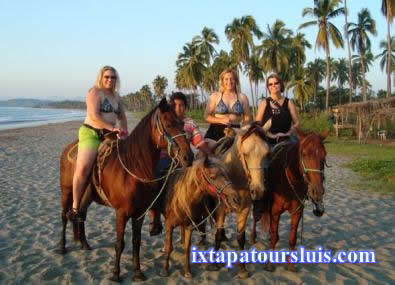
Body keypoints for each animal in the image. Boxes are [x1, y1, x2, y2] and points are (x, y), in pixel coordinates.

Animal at [58, 97, 193, 280]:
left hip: (87, 196)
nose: (188, 157)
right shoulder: (121, 213)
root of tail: (68, 149)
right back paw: (62, 247)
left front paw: (137, 272)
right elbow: (119, 243)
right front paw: (116, 274)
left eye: (182, 122)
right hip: (66, 192)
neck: (134, 168)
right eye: (169, 123)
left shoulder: (139, 213)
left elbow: (136, 242)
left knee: (81, 215)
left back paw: (84, 243)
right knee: (64, 217)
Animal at [201, 122, 270, 278]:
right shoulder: (220, 208)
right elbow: (217, 234)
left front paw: (242, 269)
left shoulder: (245, 209)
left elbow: (241, 238)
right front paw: (214, 263)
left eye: (266, 154)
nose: (258, 190)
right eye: (245, 154)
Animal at [252, 128, 330, 270]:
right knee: (255, 216)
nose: (317, 191)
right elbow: (273, 235)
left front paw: (290, 264)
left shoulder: (297, 212)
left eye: (324, 155)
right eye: (304, 154)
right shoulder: (275, 211)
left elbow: (292, 238)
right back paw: (253, 237)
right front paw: (269, 264)